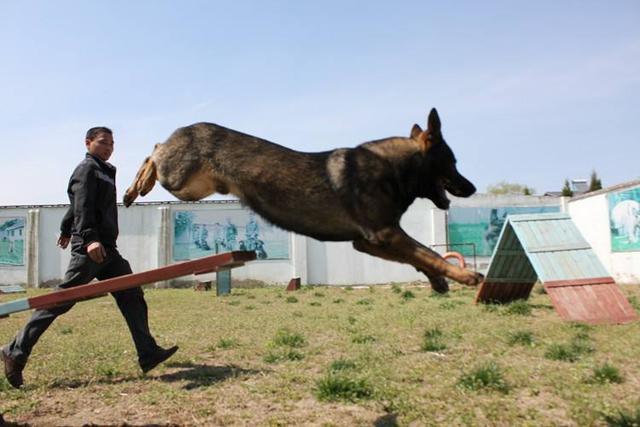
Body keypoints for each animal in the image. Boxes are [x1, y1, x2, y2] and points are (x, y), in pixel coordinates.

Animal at [125, 108, 482, 292]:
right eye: (453, 162)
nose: (472, 187)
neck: (395, 169)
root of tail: (186, 126)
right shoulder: (386, 234)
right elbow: (427, 253)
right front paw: (467, 276)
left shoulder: (370, 242)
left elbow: (422, 257)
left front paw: (439, 280)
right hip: (181, 182)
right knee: (153, 152)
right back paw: (133, 189)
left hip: (194, 186)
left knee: (154, 149)